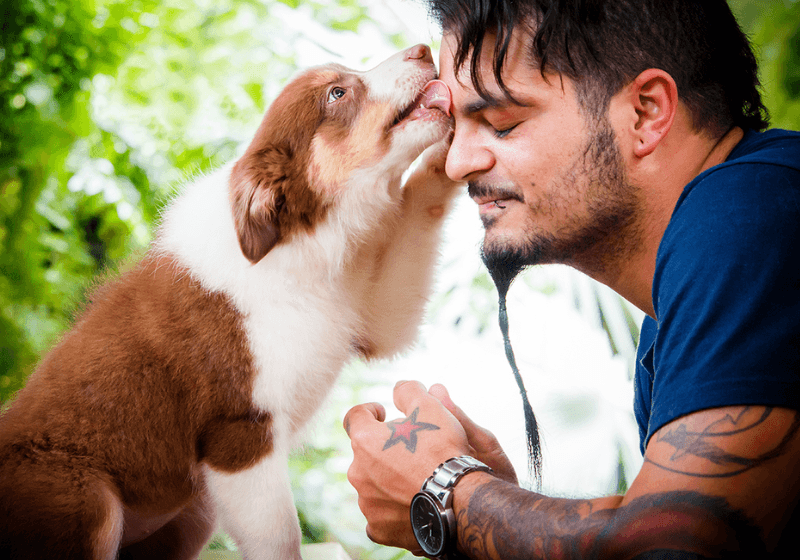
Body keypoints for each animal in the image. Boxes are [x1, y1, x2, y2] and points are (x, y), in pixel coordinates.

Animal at [0, 44, 456, 560]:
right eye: (337, 93)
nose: (423, 49)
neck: (302, 244)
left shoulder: (373, 313)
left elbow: (420, 207)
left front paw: (449, 152)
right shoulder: (240, 436)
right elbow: (281, 538)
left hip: (192, 512)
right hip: (84, 499)